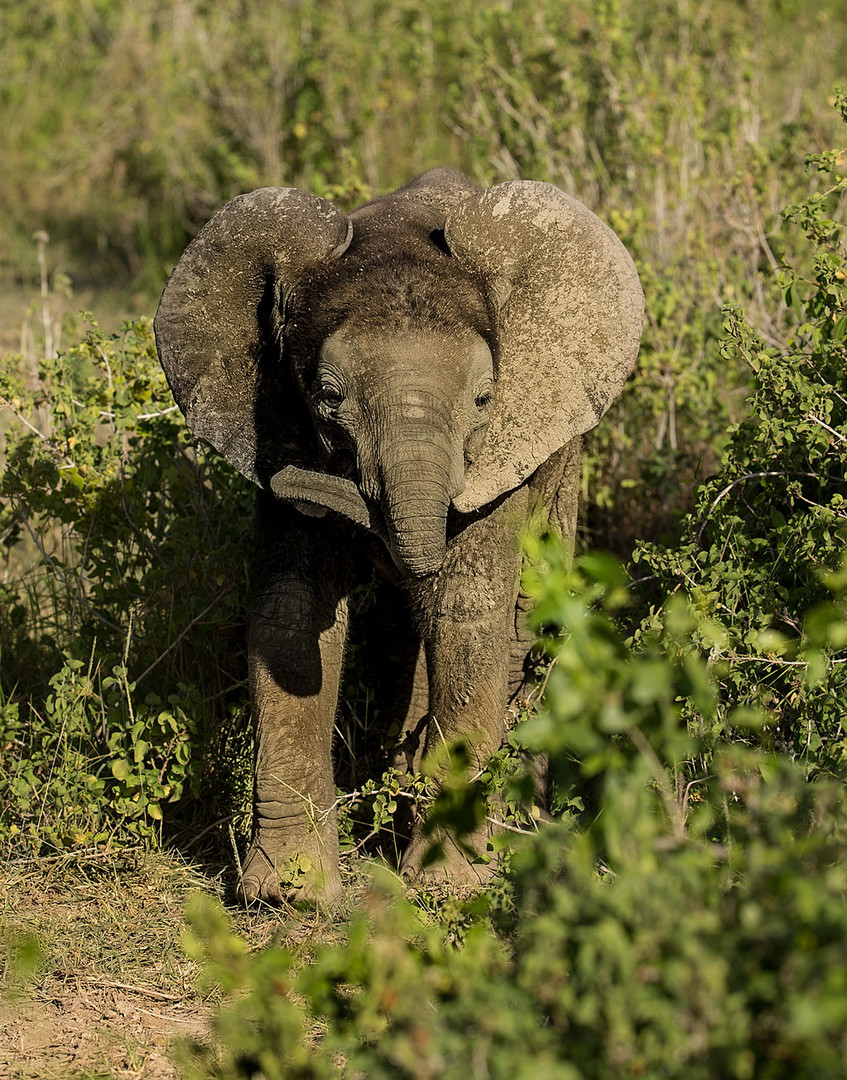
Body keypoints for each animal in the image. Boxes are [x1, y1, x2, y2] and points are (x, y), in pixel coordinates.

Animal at [153, 166, 643, 902]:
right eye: (327, 399)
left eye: (483, 400)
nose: (307, 486)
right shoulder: (278, 431)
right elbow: (290, 616)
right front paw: (289, 895)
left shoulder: (493, 465)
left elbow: (465, 615)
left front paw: (447, 889)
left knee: (521, 615)